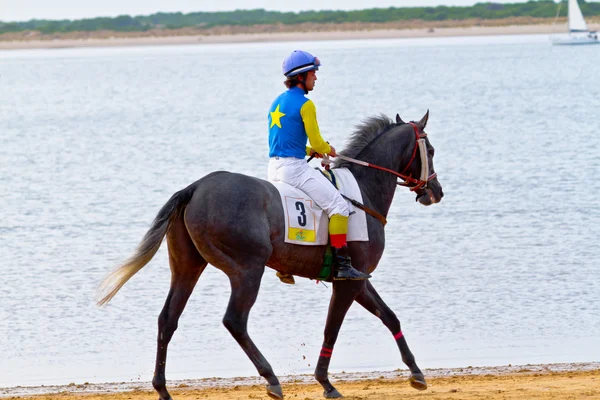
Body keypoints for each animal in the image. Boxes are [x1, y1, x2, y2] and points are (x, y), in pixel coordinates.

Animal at [98, 110, 442, 400]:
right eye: (432, 150)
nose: (436, 192)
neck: (362, 192)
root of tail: (195, 187)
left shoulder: (359, 279)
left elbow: (389, 315)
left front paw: (416, 373)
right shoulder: (349, 281)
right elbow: (332, 327)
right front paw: (325, 382)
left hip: (187, 266)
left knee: (168, 318)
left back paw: (162, 388)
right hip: (248, 269)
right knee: (235, 320)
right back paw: (271, 378)